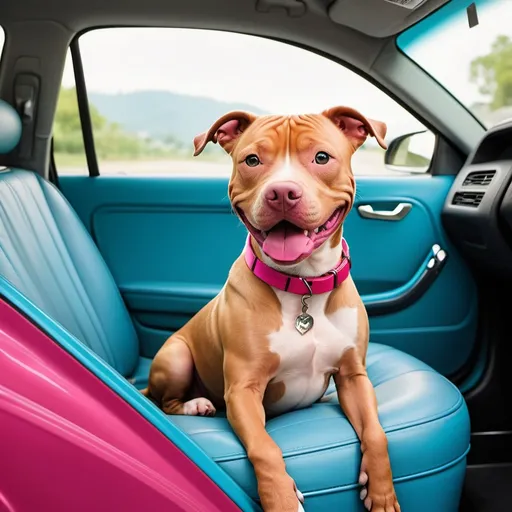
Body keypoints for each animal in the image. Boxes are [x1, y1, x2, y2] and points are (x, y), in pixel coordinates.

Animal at [142, 107, 402, 512]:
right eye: (252, 160)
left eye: (322, 157)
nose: (281, 192)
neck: (303, 286)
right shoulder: (243, 390)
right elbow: (265, 448)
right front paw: (281, 498)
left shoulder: (353, 377)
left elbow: (377, 432)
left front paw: (382, 491)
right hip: (177, 356)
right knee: (166, 403)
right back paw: (196, 405)